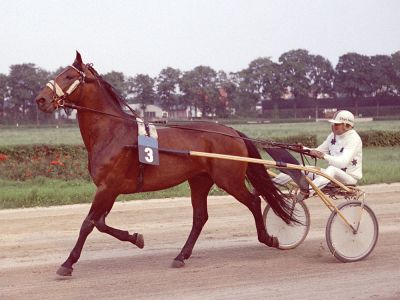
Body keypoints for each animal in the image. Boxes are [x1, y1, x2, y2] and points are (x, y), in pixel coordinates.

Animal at [35, 52, 296, 276]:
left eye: (68, 76)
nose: (40, 99)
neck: (112, 132)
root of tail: (232, 131)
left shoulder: (108, 186)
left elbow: (88, 224)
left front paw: (68, 263)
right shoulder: (110, 189)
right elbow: (100, 223)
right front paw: (136, 237)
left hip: (228, 179)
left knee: (253, 201)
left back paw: (268, 238)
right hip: (200, 180)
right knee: (200, 217)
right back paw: (181, 256)